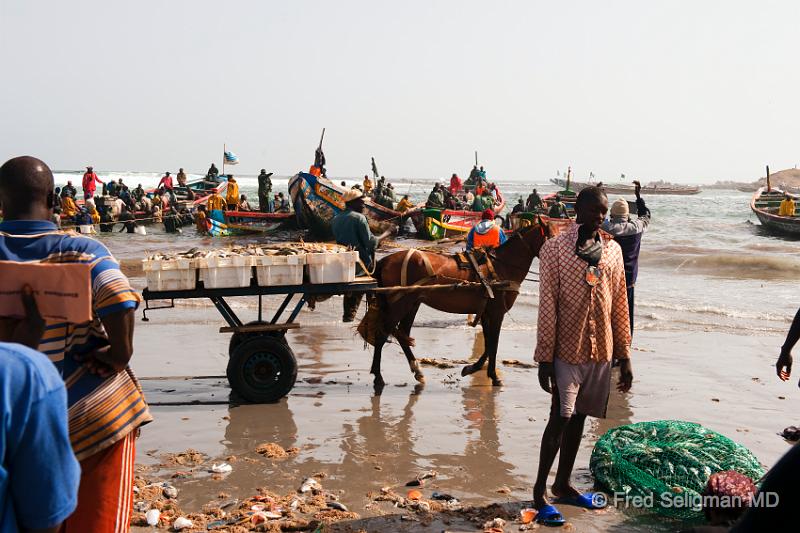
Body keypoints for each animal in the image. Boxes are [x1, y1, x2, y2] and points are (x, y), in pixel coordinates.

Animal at [362, 218, 556, 388]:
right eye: (552, 237)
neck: (501, 267)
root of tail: (385, 260)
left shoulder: (486, 313)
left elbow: (488, 344)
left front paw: (472, 368)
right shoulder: (497, 313)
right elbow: (493, 344)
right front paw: (493, 376)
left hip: (412, 303)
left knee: (402, 334)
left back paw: (417, 370)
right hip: (400, 304)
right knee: (382, 335)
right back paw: (378, 376)